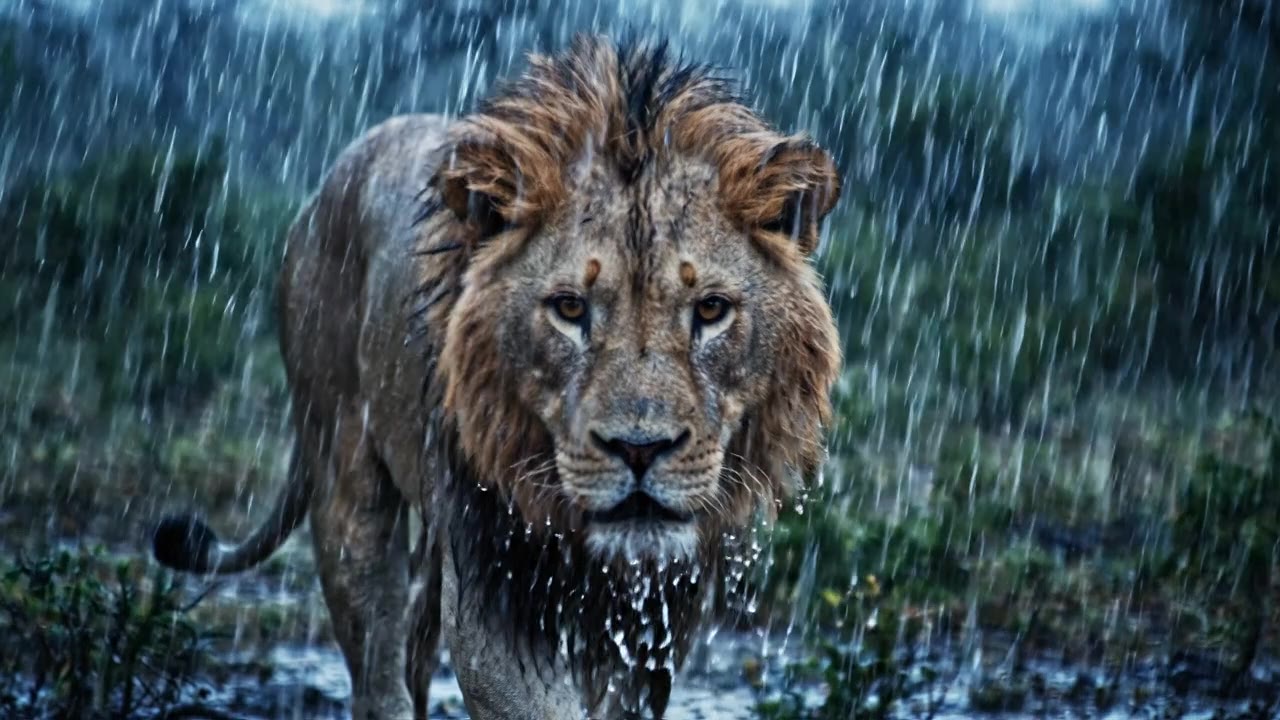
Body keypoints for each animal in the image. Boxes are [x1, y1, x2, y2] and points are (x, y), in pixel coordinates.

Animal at [152, 35, 841, 720]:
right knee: (378, 661)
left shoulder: (657, 612)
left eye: (711, 310)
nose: (639, 449)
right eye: (569, 308)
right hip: (343, 468)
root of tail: (323, 190)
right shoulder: (491, 584)